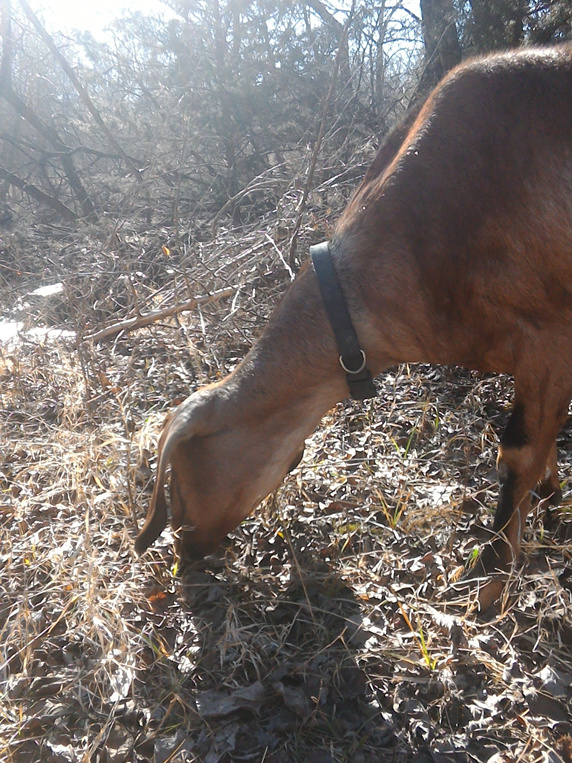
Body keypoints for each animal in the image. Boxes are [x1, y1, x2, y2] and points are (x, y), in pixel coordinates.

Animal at [135, 46, 572, 608]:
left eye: (175, 481)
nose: (183, 554)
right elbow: (545, 449)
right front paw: (552, 512)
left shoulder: (549, 336)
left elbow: (517, 454)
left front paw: (489, 587)